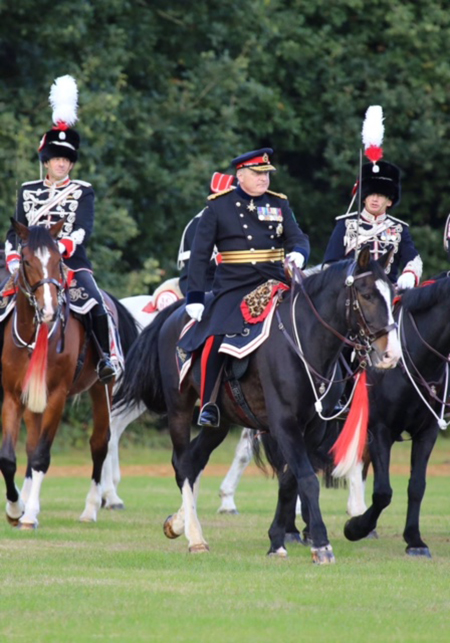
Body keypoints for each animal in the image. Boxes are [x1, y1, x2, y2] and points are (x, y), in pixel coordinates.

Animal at [0, 219, 139, 532]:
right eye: (26, 260)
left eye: (58, 260)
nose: (49, 310)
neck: (33, 333)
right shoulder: (13, 396)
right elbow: (10, 458)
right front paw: (15, 509)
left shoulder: (56, 396)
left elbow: (42, 456)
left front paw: (29, 515)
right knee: (31, 445)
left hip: (102, 389)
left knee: (100, 442)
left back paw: (91, 508)